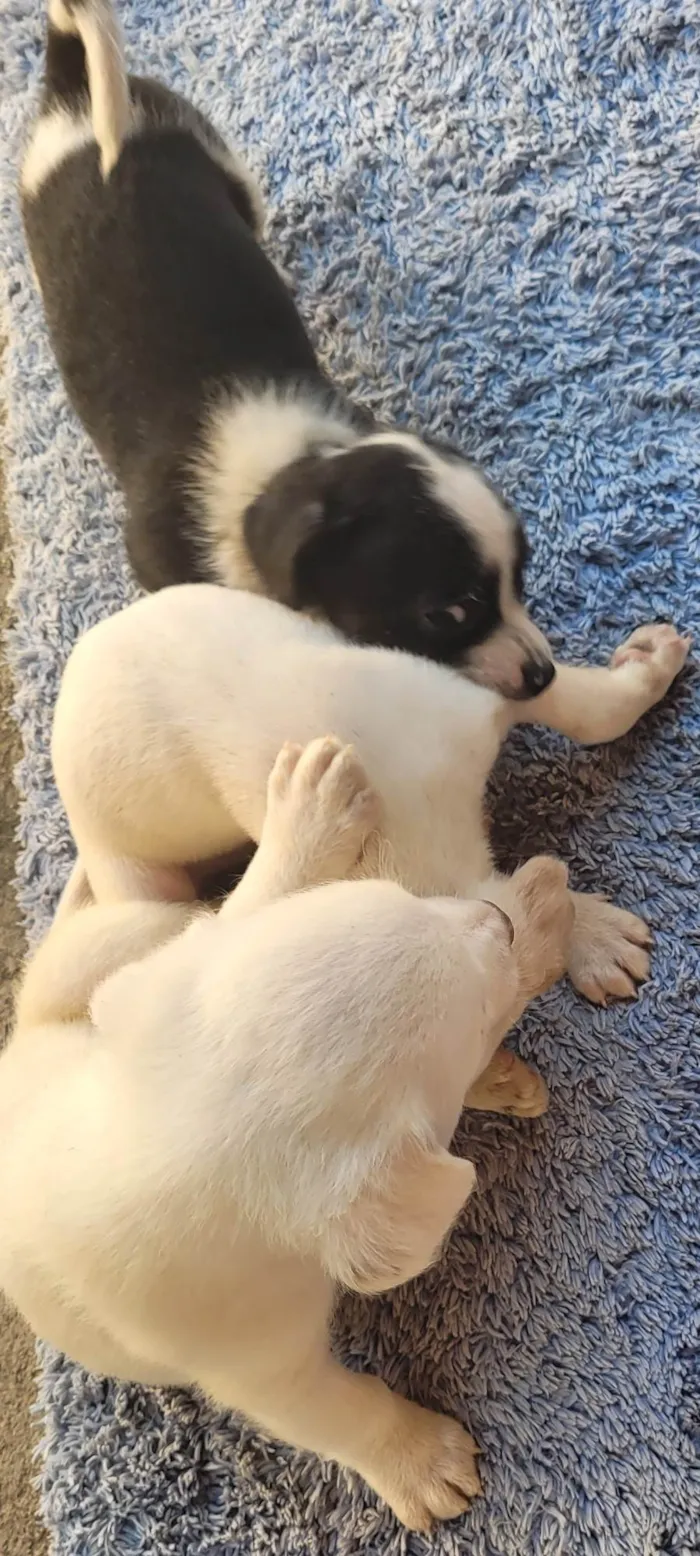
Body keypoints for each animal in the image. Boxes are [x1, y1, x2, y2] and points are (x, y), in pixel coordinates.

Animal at [1, 734, 575, 1524]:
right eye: (479, 1010)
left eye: (406, 897)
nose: (497, 918)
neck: (167, 1144)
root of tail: (20, 1040)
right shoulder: (248, 1358)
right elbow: (330, 1409)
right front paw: (420, 1461)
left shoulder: (168, 992)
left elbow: (240, 917)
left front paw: (308, 814)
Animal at [21, 0, 556, 697]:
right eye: (448, 613)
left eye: (521, 577)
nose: (545, 675)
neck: (286, 468)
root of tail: (73, 93)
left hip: (218, 158)